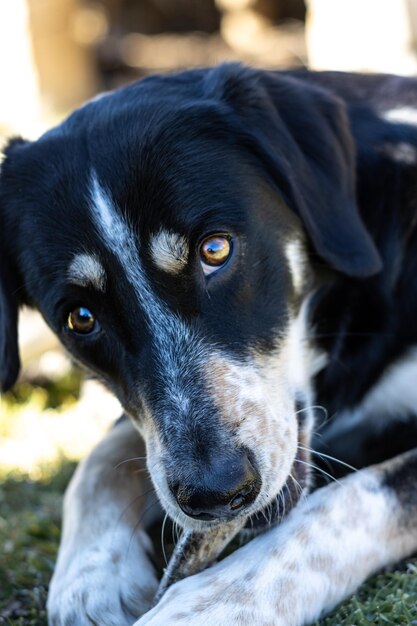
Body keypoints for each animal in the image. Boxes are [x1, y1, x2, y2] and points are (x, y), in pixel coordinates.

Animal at [0, 64, 416, 624]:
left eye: (215, 250)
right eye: (81, 318)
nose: (216, 495)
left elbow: (350, 500)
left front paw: (224, 597)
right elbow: (98, 460)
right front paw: (90, 578)